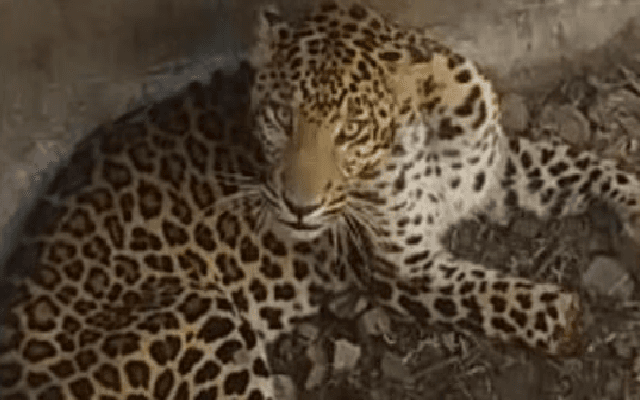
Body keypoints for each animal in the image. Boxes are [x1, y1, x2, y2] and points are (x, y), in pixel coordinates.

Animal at [1, 1, 640, 400]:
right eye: (280, 118)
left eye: (349, 130)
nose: (298, 206)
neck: (429, 134)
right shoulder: (399, 269)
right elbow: (488, 292)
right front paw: (564, 317)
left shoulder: (490, 172)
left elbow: (579, 164)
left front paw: (629, 201)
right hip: (197, 313)